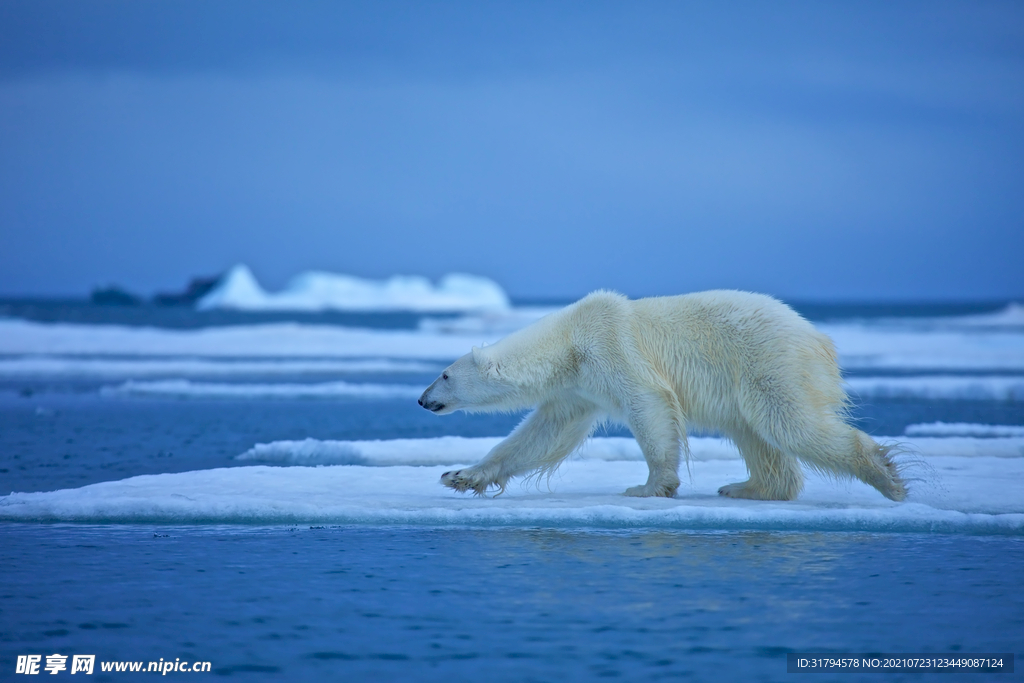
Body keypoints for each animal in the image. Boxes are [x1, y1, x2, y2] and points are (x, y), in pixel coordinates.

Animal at [415, 290, 905, 501]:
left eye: (444, 374)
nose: (421, 400)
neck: (568, 341)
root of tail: (819, 338)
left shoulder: (610, 346)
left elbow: (647, 404)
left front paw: (650, 486)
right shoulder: (578, 386)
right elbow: (543, 434)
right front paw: (461, 476)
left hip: (769, 363)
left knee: (789, 423)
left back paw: (886, 476)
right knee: (755, 434)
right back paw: (745, 487)